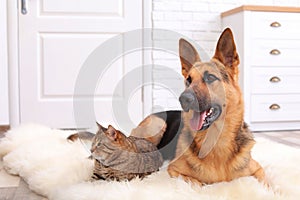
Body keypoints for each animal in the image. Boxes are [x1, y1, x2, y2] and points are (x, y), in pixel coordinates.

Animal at [131, 28, 268, 186]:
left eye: (210, 78)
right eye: (188, 80)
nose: (183, 99)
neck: (216, 140)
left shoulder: (259, 169)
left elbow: (268, 184)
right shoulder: (174, 170)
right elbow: (197, 183)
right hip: (158, 124)